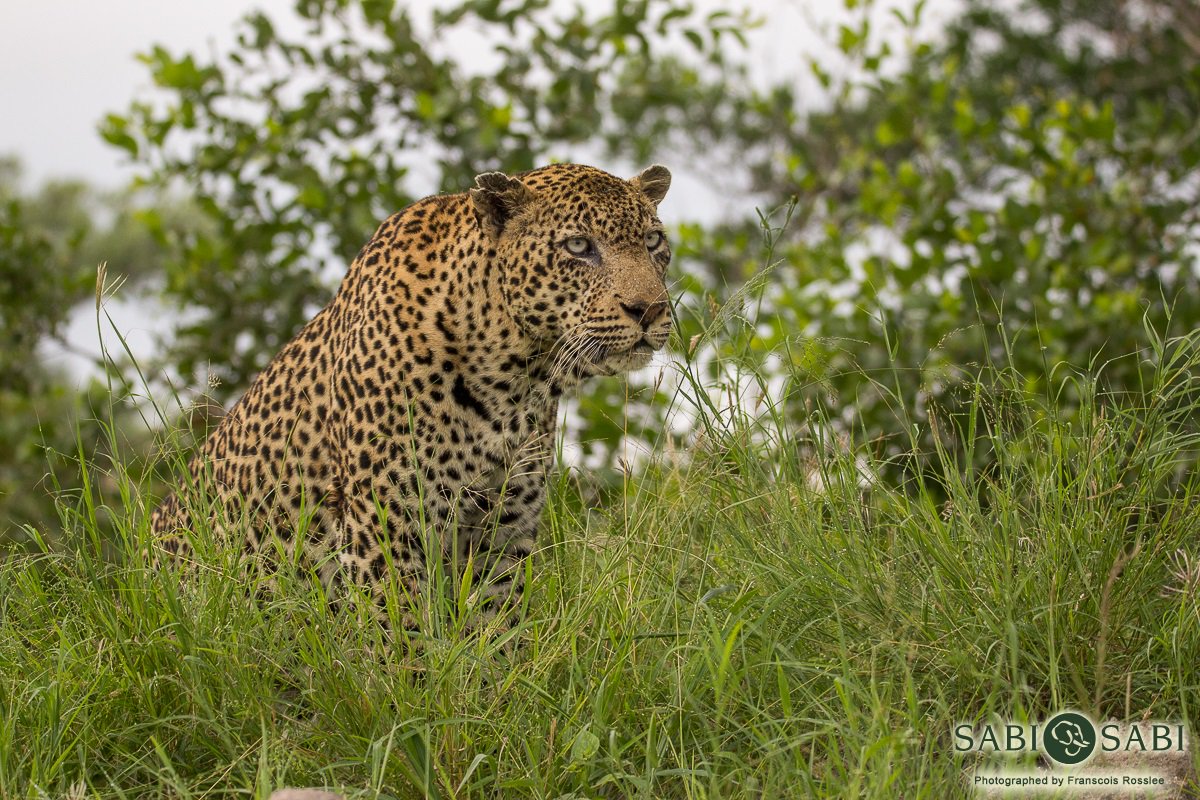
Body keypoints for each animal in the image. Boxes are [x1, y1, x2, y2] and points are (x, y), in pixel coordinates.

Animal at [149, 162, 674, 637]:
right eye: (578, 247)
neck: (517, 377)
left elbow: (495, 629)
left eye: (653, 242)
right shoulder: (385, 520)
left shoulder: (505, 525)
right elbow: (399, 633)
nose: (650, 309)